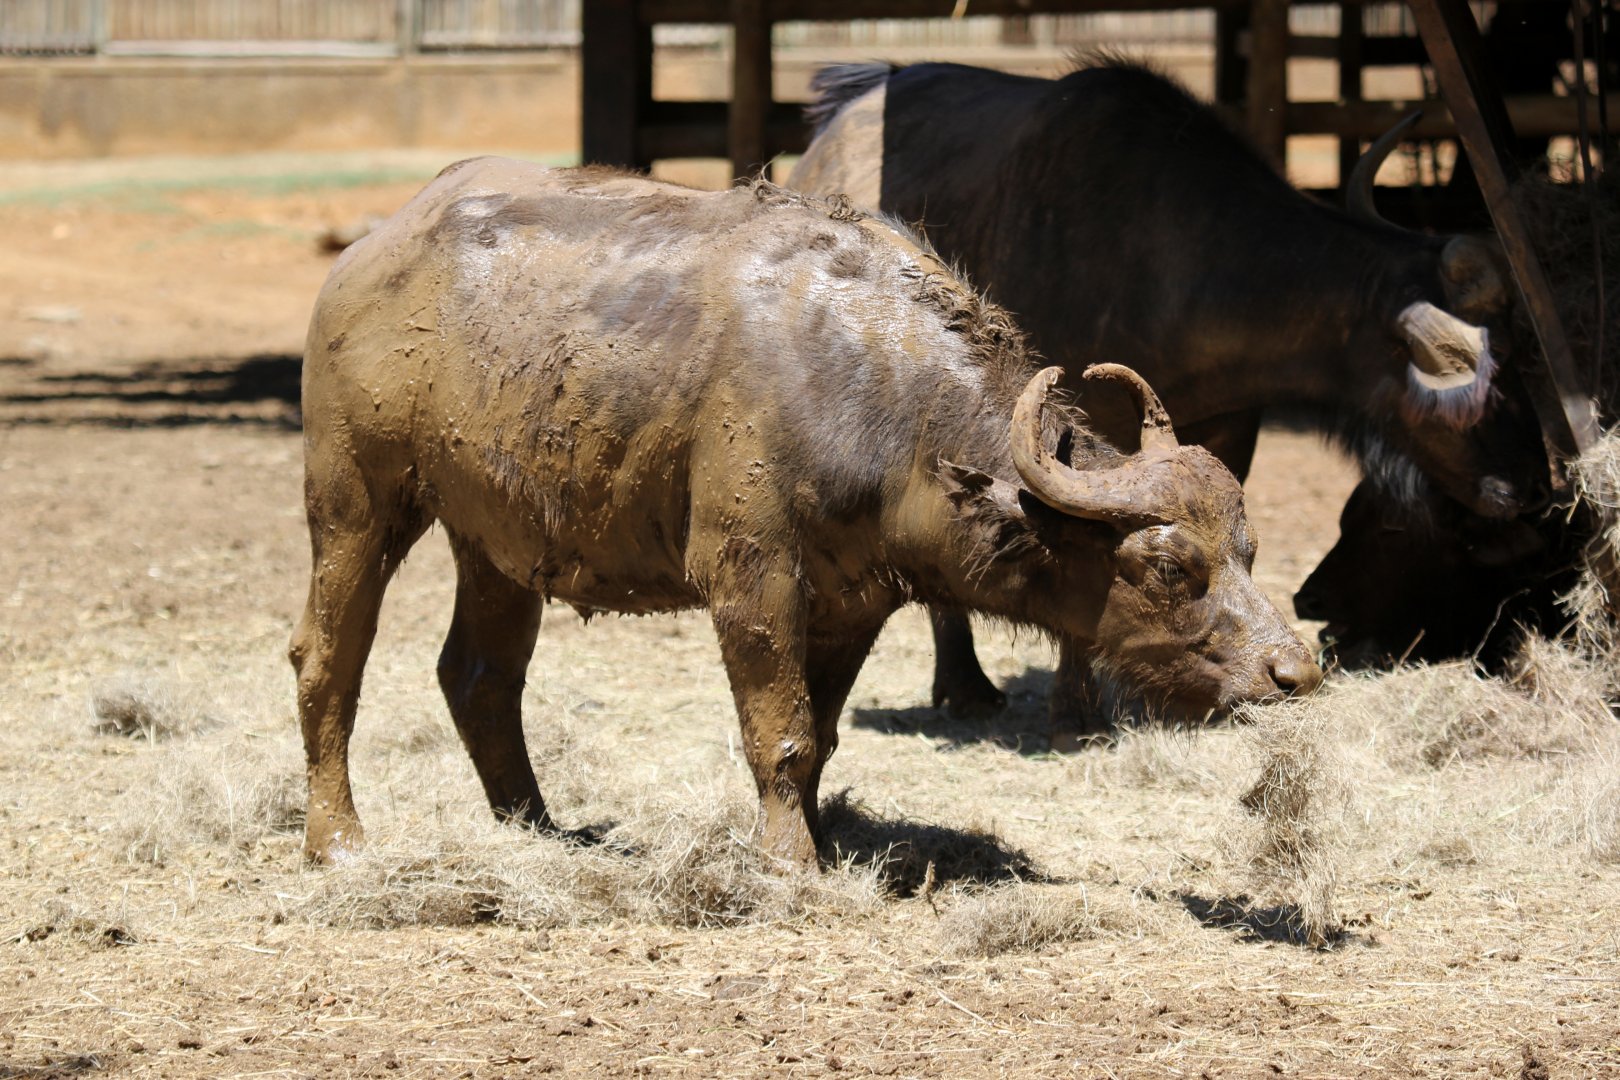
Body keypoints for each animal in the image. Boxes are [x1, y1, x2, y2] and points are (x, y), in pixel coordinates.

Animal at [291, 159, 1320, 867]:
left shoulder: (856, 602)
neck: (876, 398)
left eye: (1248, 549)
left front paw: (823, 839)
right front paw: (791, 864)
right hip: (357, 503)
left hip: (498, 541)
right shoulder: (752, 578)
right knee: (327, 661)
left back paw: (539, 828)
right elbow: (778, 732)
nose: (1297, 670)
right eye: (1170, 568)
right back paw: (337, 839)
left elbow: (820, 738)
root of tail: (367, 258)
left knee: (479, 677)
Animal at [790, 58, 1546, 729]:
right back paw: (967, 686)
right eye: (1490, 381)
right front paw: (1076, 711)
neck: (1177, 255)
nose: (1533, 491)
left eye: (1527, 355)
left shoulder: (1230, 425)